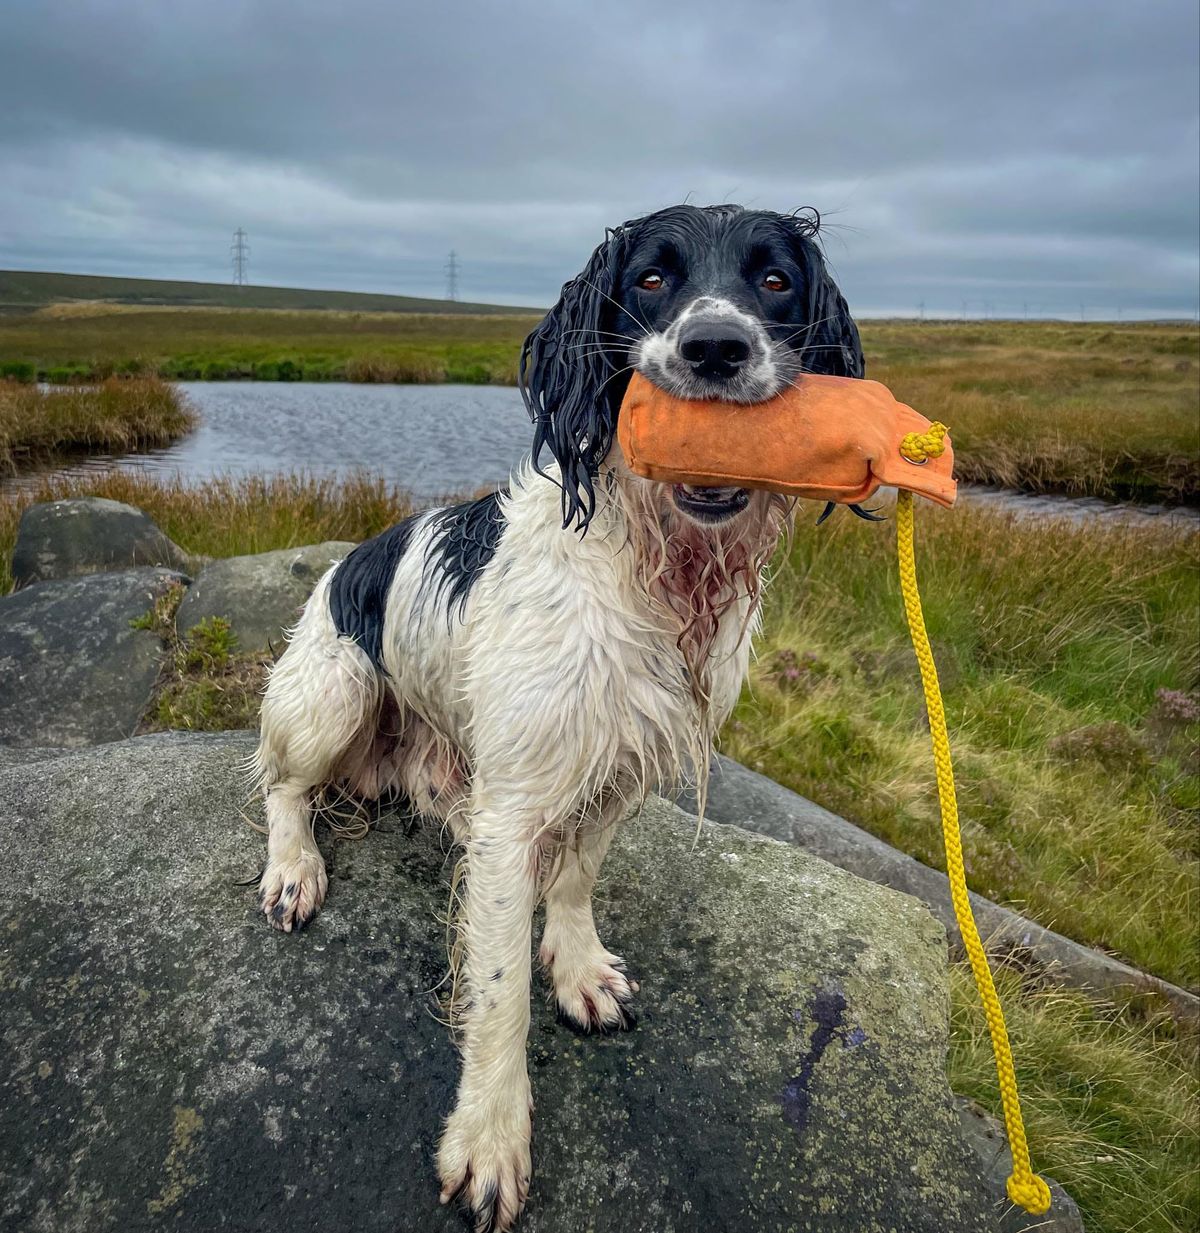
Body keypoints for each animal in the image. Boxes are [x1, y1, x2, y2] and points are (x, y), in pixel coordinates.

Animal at [252, 204, 863, 1233]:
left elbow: (576, 876)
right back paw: (294, 867)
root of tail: (340, 565)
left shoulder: (621, 762)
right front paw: (491, 1136)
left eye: (776, 281)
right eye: (651, 278)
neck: (654, 571)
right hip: (331, 691)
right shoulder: (517, 804)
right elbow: (499, 991)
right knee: (281, 785)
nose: (716, 348)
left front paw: (576, 965)